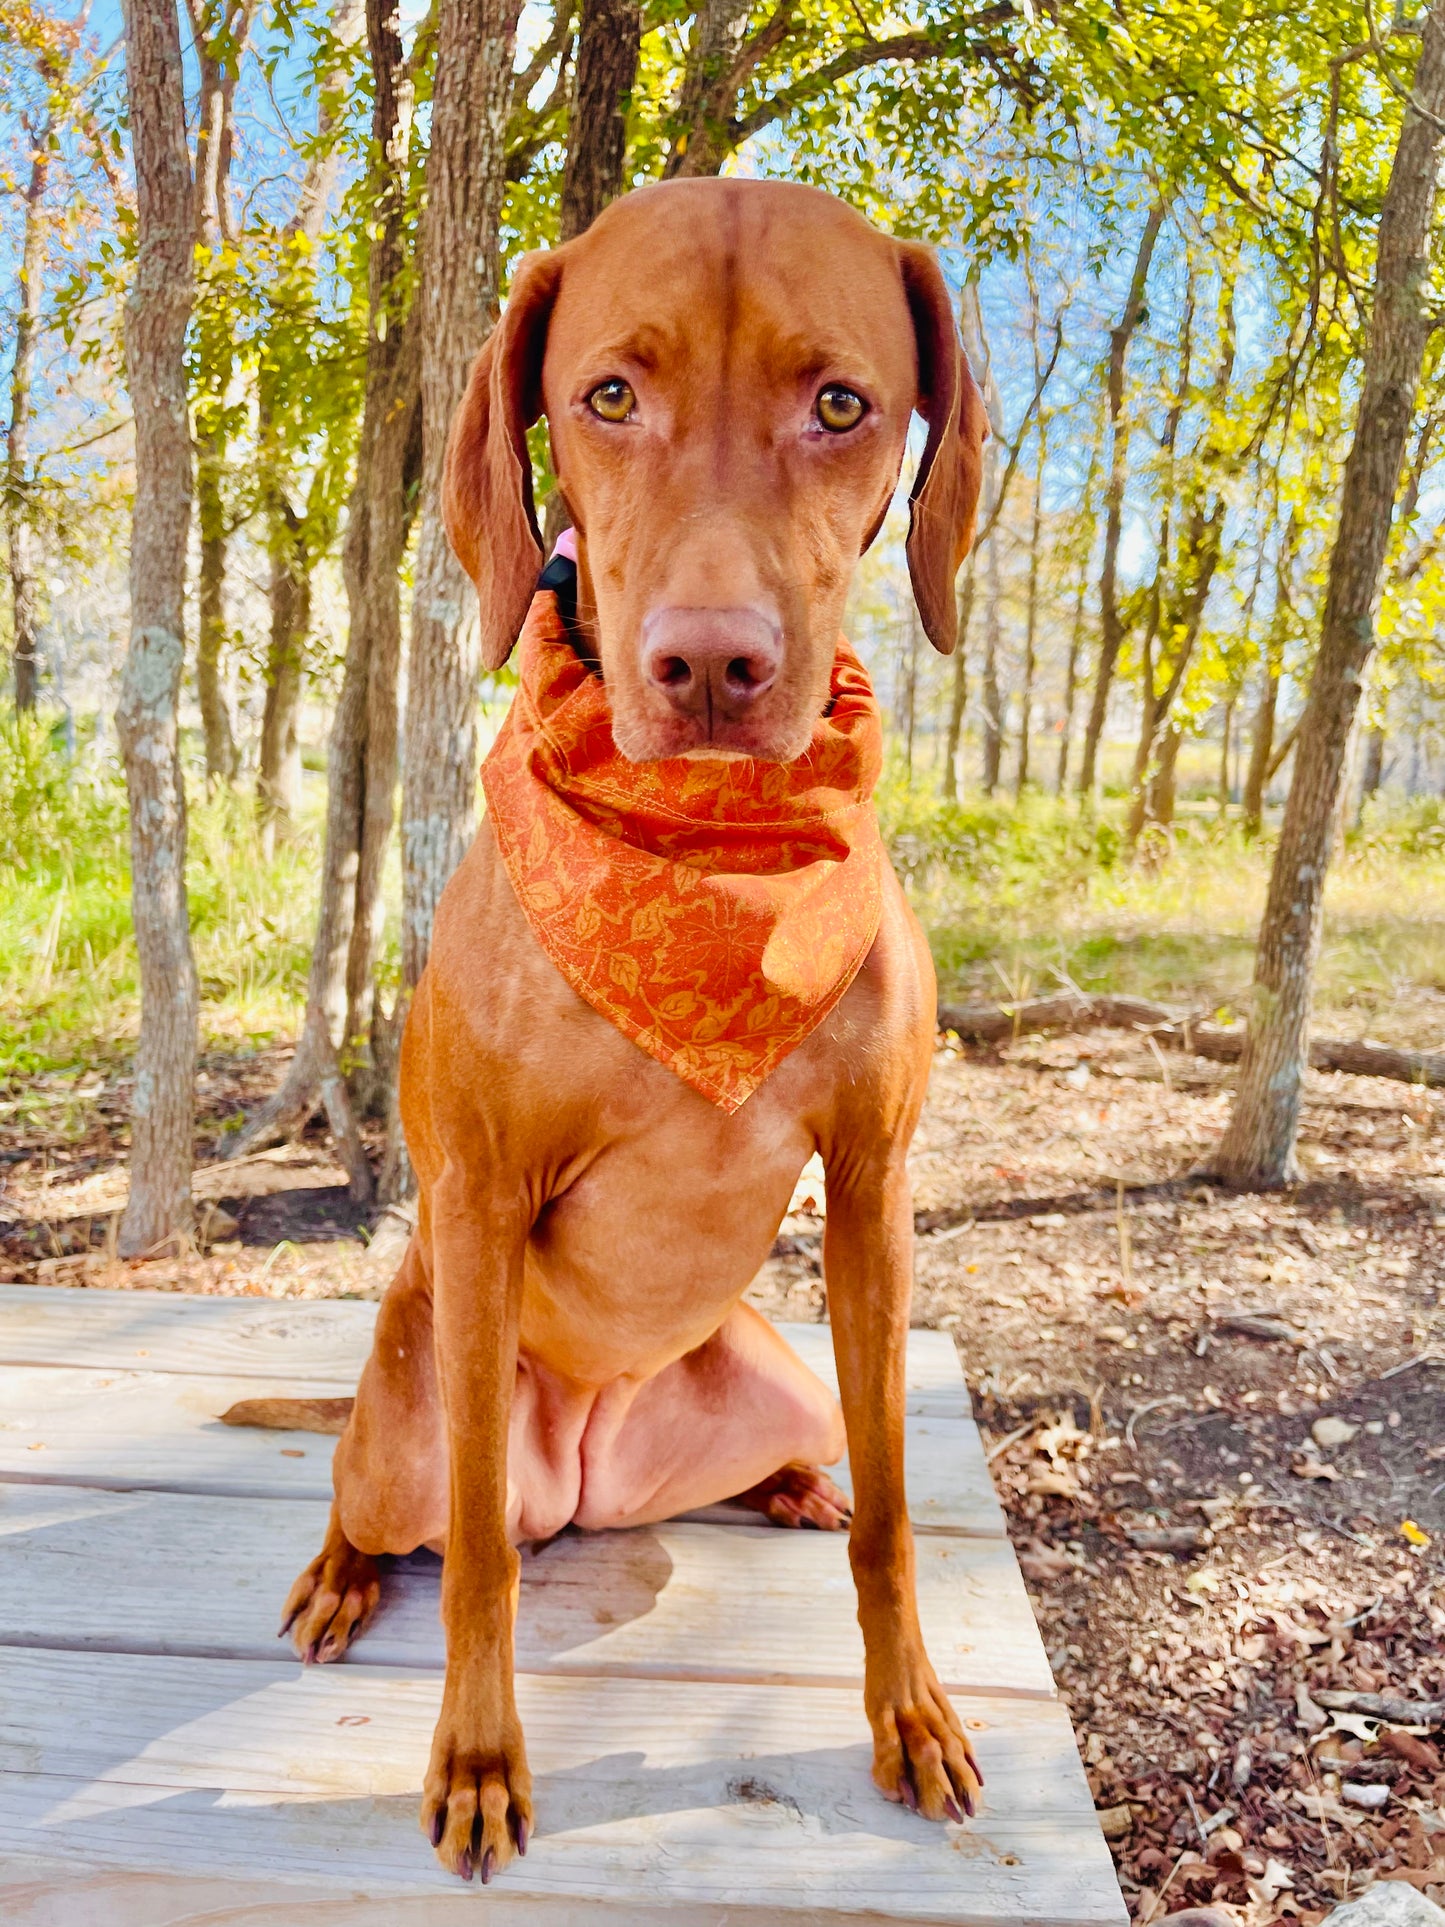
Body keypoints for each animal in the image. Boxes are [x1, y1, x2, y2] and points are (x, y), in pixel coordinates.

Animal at [277, 181, 994, 1880]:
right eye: (608, 395)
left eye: (840, 405)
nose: (712, 664)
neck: (704, 861)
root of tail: (597, 1479)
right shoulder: (478, 1198)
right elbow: (479, 1552)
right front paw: (479, 1755)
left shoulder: (872, 1190)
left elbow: (895, 1516)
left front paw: (910, 1710)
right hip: (403, 1418)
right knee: (390, 1497)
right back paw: (341, 1568)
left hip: (789, 1368)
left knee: (817, 1448)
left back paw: (793, 1480)